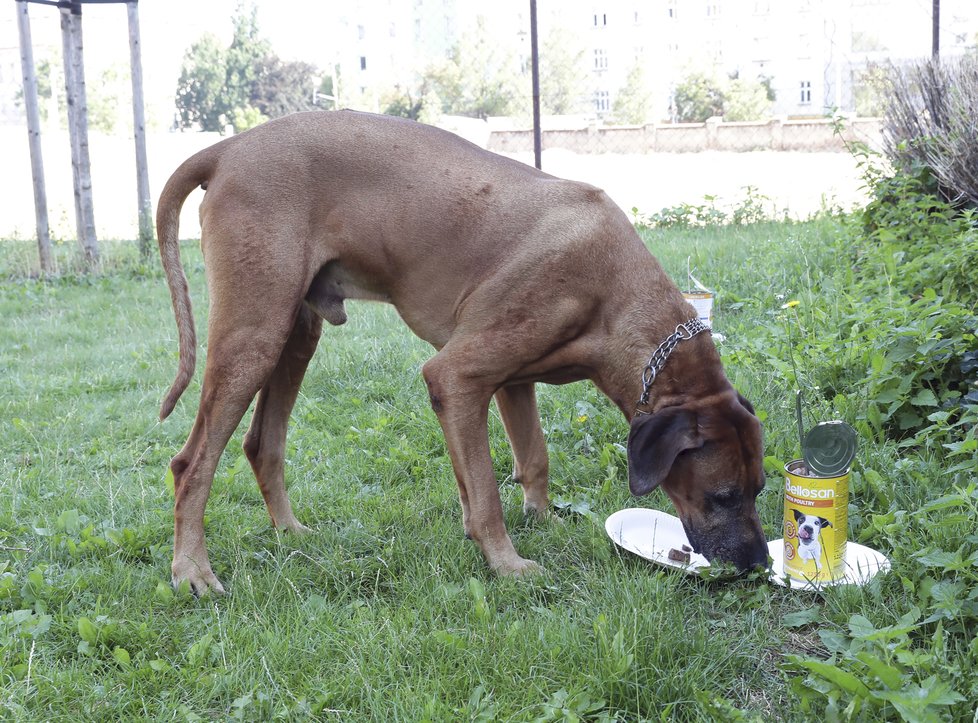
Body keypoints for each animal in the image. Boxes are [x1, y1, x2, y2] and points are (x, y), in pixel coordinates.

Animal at [156, 109, 768, 592]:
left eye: (760, 488)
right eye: (722, 495)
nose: (759, 564)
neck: (615, 290)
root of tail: (227, 148)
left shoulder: (511, 383)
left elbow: (529, 460)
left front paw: (540, 522)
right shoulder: (457, 376)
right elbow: (487, 490)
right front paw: (507, 563)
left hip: (295, 336)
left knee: (263, 444)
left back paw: (290, 532)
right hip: (254, 335)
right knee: (191, 464)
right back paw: (192, 571)